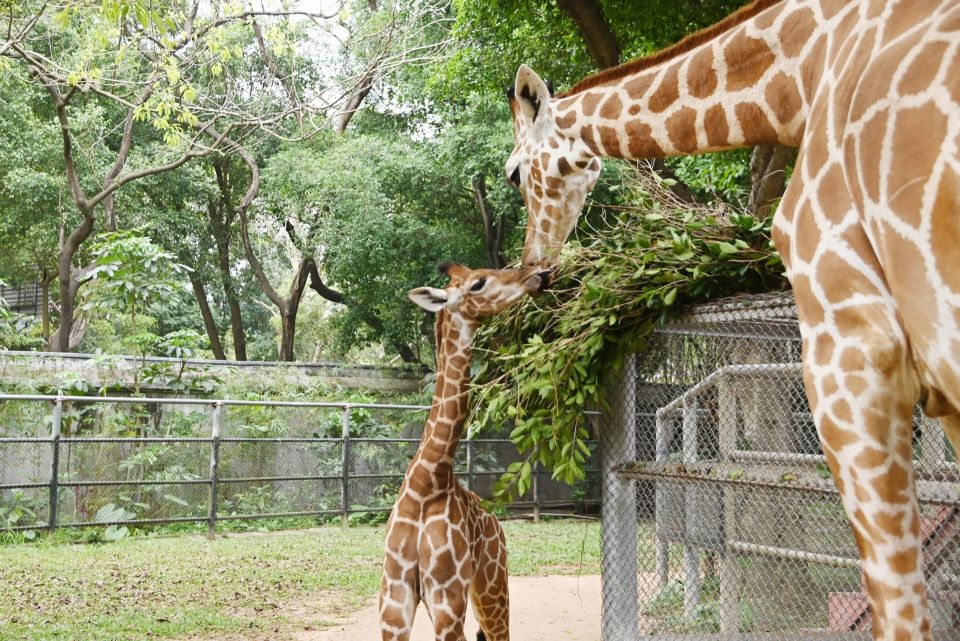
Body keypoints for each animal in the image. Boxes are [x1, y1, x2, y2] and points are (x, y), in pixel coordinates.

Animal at [378, 262, 552, 640]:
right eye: (478, 283)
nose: (537, 276)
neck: (428, 479)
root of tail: (497, 525)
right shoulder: (394, 604)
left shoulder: (447, 600)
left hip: (491, 586)